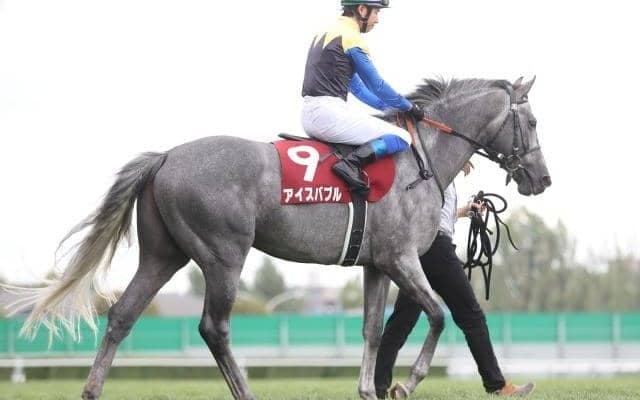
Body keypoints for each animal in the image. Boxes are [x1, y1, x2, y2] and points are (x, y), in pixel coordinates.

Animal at [11, 77, 550, 400]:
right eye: (532, 121)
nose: (541, 179)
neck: (418, 159)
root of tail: (166, 156)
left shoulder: (377, 265)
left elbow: (373, 330)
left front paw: (370, 390)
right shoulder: (401, 259)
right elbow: (438, 315)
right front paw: (407, 383)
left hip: (164, 255)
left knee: (123, 315)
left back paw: (92, 389)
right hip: (223, 256)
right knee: (214, 327)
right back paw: (245, 391)